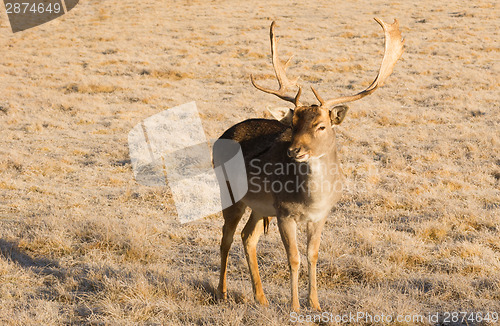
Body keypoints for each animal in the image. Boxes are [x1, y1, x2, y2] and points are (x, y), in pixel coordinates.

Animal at [213, 18, 404, 314]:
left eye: (321, 125)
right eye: (293, 125)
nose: (294, 150)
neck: (310, 199)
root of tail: (220, 137)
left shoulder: (320, 215)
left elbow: (312, 255)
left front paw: (315, 303)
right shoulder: (284, 212)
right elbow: (293, 258)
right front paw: (294, 306)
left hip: (260, 206)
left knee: (248, 237)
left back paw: (261, 297)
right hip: (230, 192)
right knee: (226, 238)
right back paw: (222, 292)